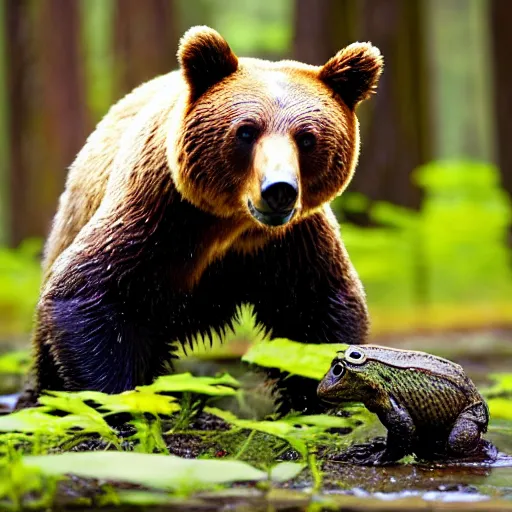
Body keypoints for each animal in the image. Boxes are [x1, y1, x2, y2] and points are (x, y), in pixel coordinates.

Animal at [26, 27, 382, 412]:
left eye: (306, 137)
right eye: (246, 130)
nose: (279, 189)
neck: (230, 226)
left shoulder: (292, 241)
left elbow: (315, 310)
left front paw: (317, 401)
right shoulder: (155, 217)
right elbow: (89, 294)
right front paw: (121, 403)